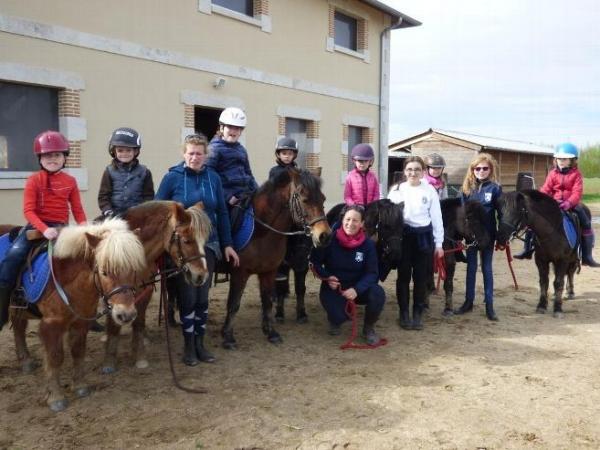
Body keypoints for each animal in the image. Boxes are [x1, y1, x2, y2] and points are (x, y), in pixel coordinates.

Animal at [2, 220, 146, 414]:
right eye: (104, 271)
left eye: (134, 270)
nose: (126, 314)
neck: (65, 280)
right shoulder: (52, 325)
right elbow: (55, 357)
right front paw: (55, 398)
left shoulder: (80, 322)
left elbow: (78, 351)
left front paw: (79, 387)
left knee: (18, 327)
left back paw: (26, 361)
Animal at [102, 202, 213, 374]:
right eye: (187, 240)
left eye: (204, 241)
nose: (201, 276)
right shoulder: (113, 292)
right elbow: (113, 323)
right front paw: (109, 360)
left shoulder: (144, 291)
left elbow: (139, 323)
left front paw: (139, 355)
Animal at [221, 168, 332, 348]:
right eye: (305, 199)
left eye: (323, 198)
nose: (324, 236)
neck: (261, 231)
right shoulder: (239, 273)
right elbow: (233, 303)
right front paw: (228, 337)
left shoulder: (269, 272)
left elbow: (267, 302)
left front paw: (271, 333)